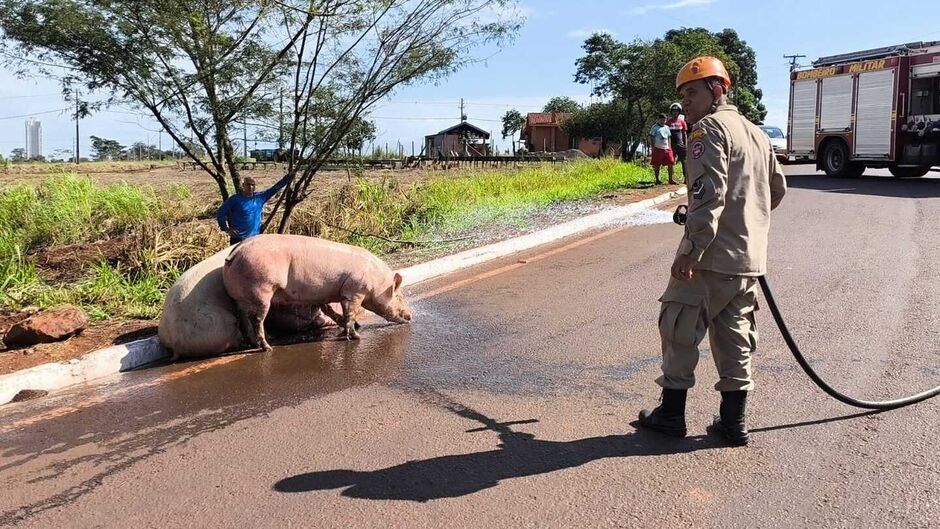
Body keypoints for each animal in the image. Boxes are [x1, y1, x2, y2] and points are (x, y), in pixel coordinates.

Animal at [222, 232, 414, 348]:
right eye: (400, 296)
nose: (411, 316)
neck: (376, 281)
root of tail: (235, 253)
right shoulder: (355, 290)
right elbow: (349, 312)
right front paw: (356, 337)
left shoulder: (329, 294)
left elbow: (330, 309)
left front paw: (350, 328)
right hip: (262, 288)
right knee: (257, 318)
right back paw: (267, 347)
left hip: (239, 297)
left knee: (244, 318)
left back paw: (257, 344)